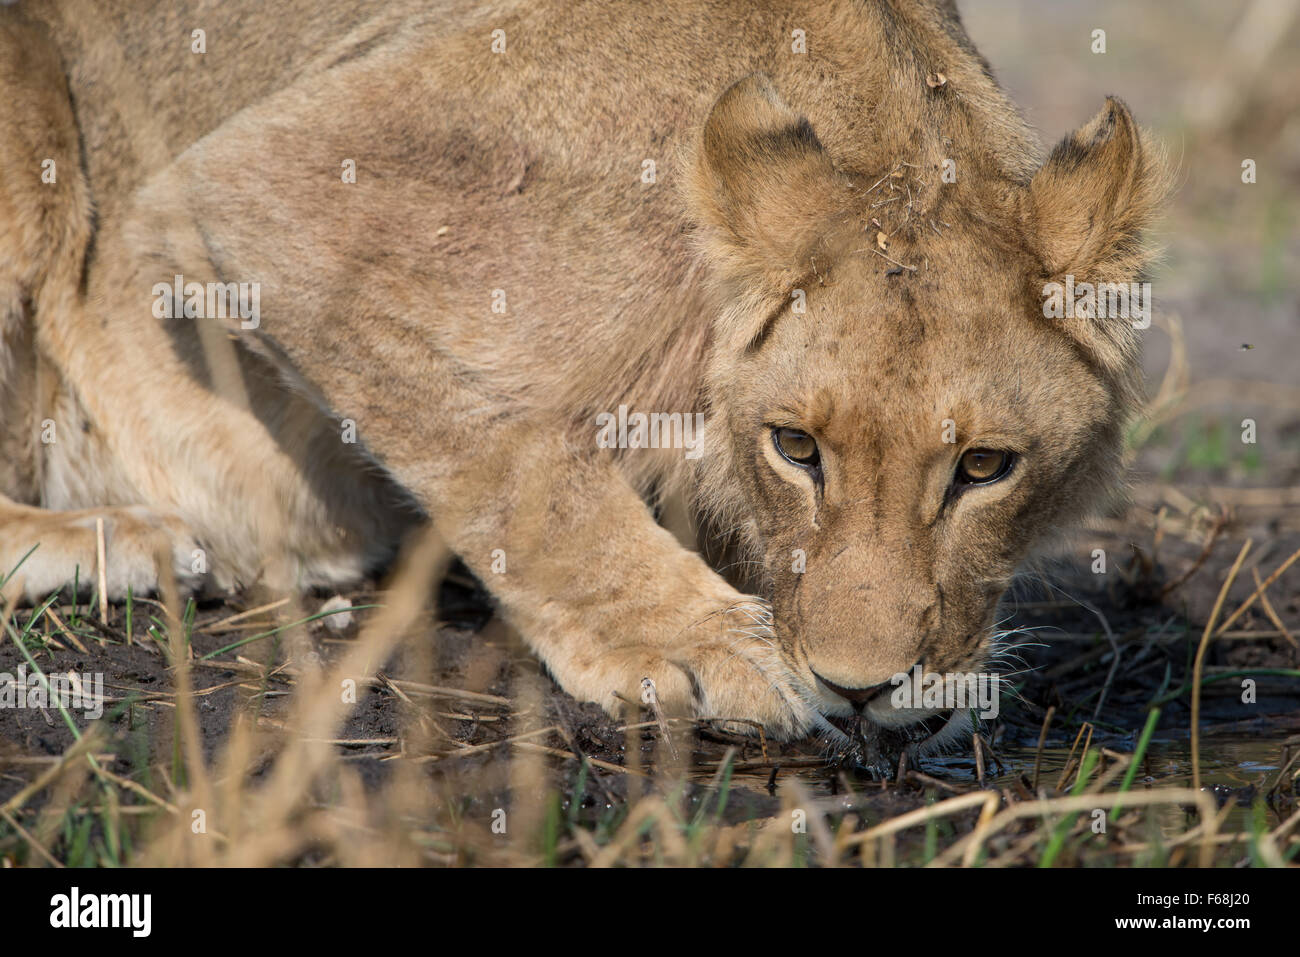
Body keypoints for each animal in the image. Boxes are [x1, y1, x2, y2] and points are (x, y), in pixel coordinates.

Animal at [0, 1, 1164, 764]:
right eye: (796, 449)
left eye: (985, 467)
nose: (862, 690)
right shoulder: (262, 189)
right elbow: (516, 454)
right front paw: (691, 644)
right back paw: (128, 536)